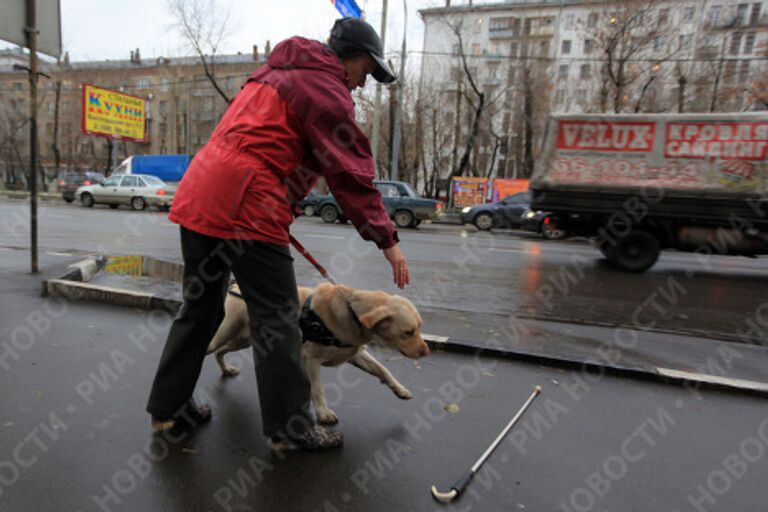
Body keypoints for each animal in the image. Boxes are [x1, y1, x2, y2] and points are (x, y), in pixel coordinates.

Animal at [207, 280, 428, 424]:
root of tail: (235, 288)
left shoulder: (356, 354)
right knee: (210, 348)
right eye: (408, 332)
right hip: (224, 333)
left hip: (242, 340)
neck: (352, 311)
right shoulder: (310, 359)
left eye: (420, 327)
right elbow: (317, 388)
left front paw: (400, 389)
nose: (426, 352)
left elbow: (383, 370)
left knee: (220, 352)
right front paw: (323, 412)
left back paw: (226, 369)